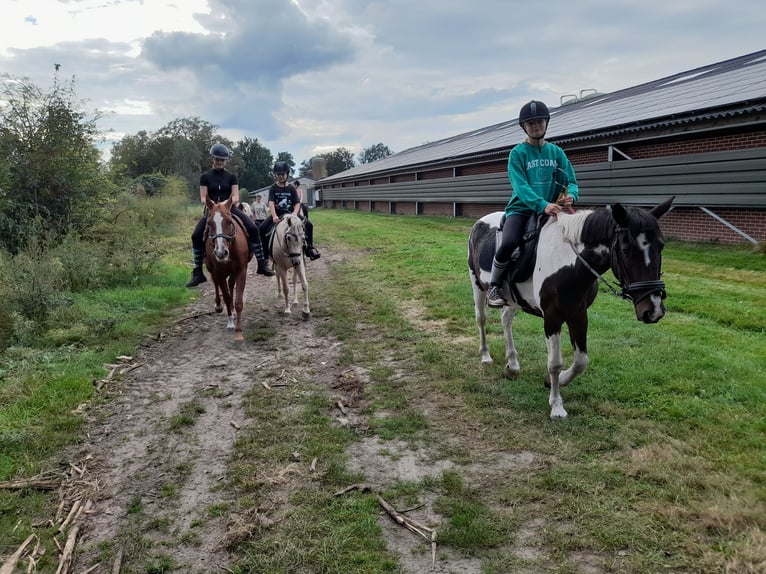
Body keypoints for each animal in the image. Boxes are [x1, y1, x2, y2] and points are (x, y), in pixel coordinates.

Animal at [206, 198, 254, 342]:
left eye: (229, 221)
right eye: (209, 223)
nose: (221, 253)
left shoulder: (241, 270)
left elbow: (238, 301)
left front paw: (238, 332)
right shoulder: (218, 273)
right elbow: (226, 296)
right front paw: (231, 322)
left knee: (231, 285)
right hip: (211, 269)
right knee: (216, 284)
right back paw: (218, 305)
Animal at [472, 200, 676, 420]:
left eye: (661, 246)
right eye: (626, 250)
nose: (654, 310)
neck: (568, 263)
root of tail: (481, 221)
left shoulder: (578, 315)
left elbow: (581, 361)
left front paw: (557, 381)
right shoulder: (552, 318)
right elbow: (554, 363)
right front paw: (556, 406)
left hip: (514, 300)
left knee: (506, 320)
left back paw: (513, 365)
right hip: (478, 286)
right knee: (482, 319)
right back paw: (485, 355)